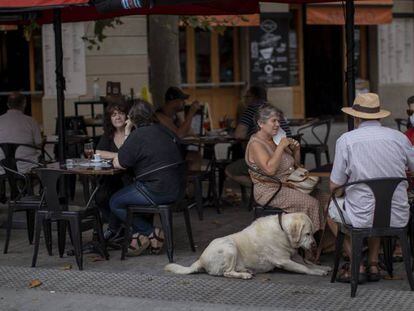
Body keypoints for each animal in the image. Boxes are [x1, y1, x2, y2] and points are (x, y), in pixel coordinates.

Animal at [164, 213, 330, 280]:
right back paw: (244, 275)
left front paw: (322, 267)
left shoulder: (294, 256)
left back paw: (245, 270)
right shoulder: (284, 260)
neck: (283, 230)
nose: (314, 244)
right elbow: (304, 268)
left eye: (312, 233)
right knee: (227, 273)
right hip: (230, 247)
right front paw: (317, 272)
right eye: (307, 234)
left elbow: (308, 263)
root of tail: (200, 260)